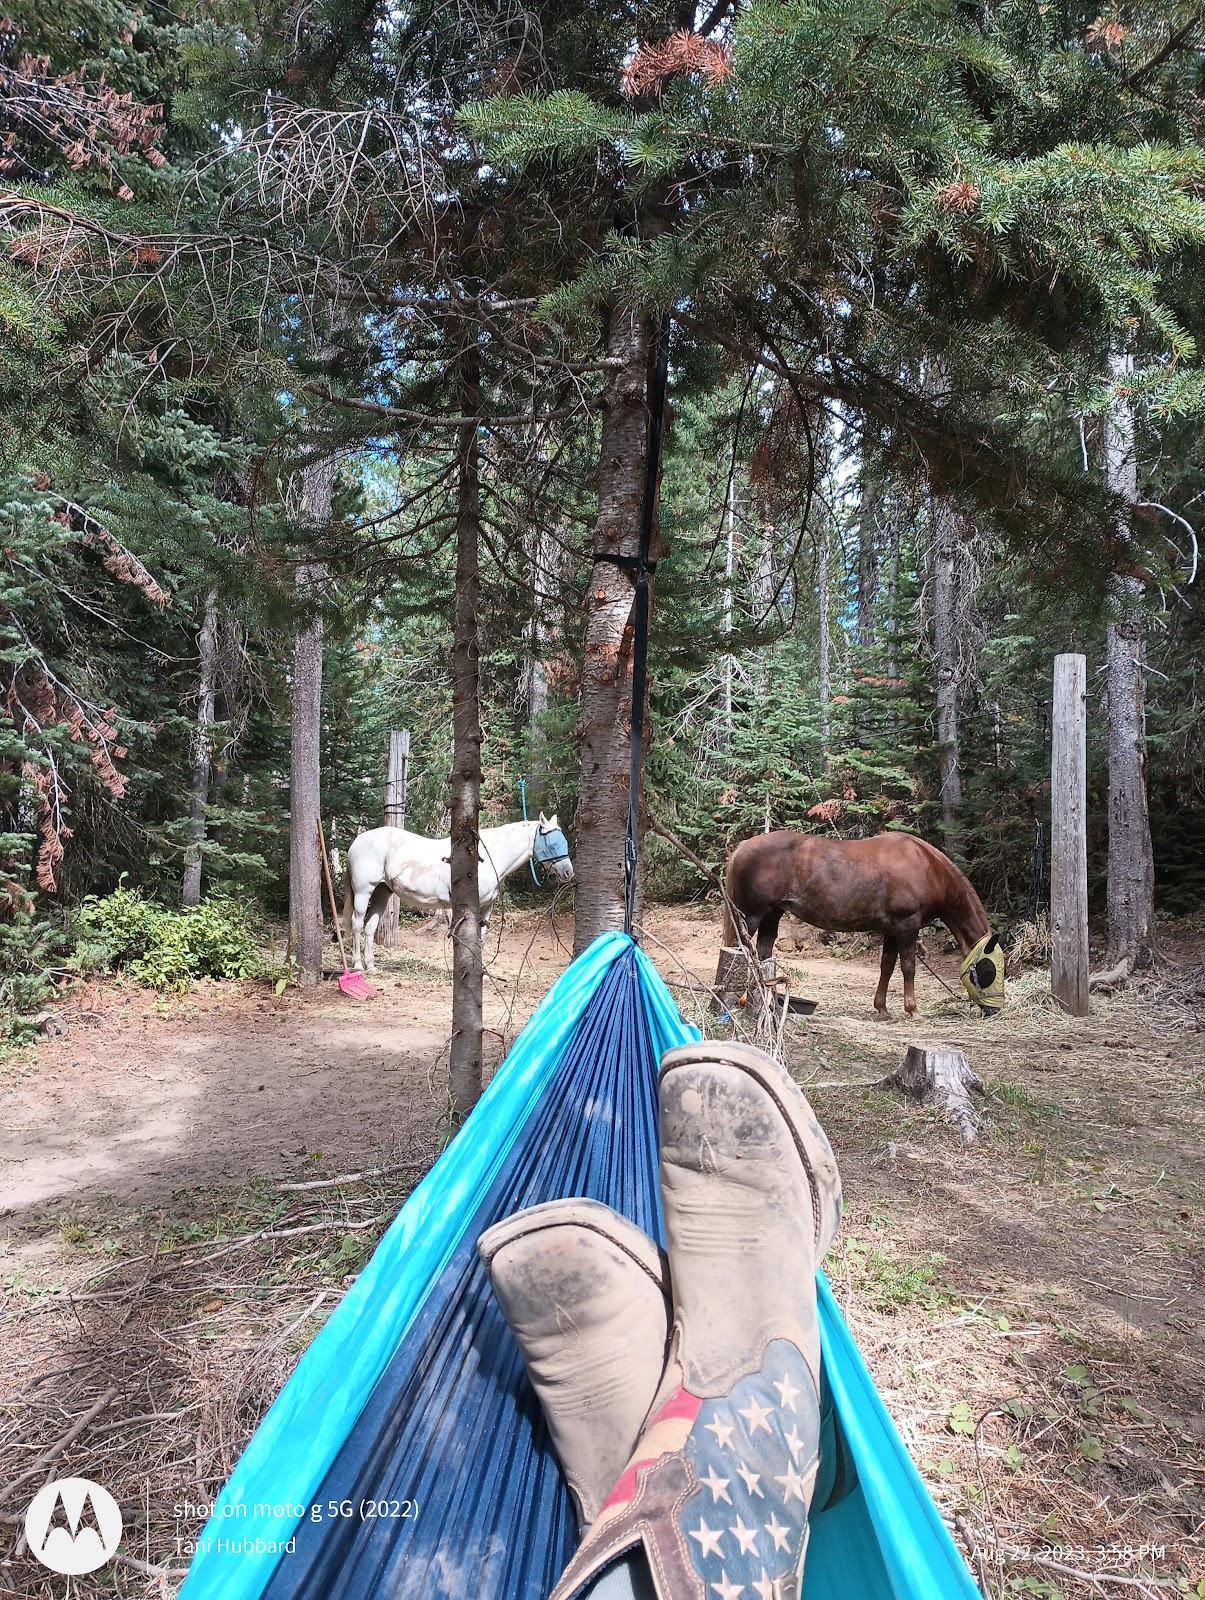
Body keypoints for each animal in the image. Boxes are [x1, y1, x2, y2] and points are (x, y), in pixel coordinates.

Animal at [342, 815, 574, 974]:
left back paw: (371, 966)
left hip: (383, 891)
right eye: (553, 842)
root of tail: (357, 842)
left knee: (370, 926)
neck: (483, 859)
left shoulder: (486, 908)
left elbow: (481, 938)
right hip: (364, 891)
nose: (568, 872)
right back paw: (358, 966)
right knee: (357, 924)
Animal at [717, 830, 1003, 1017]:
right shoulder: (906, 926)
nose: (994, 1011)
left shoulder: (891, 931)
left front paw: (883, 1009)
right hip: (750, 916)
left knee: (764, 954)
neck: (926, 868)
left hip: (772, 915)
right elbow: (908, 968)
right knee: (737, 953)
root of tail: (741, 848)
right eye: (988, 970)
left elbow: (887, 967)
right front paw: (912, 1010)